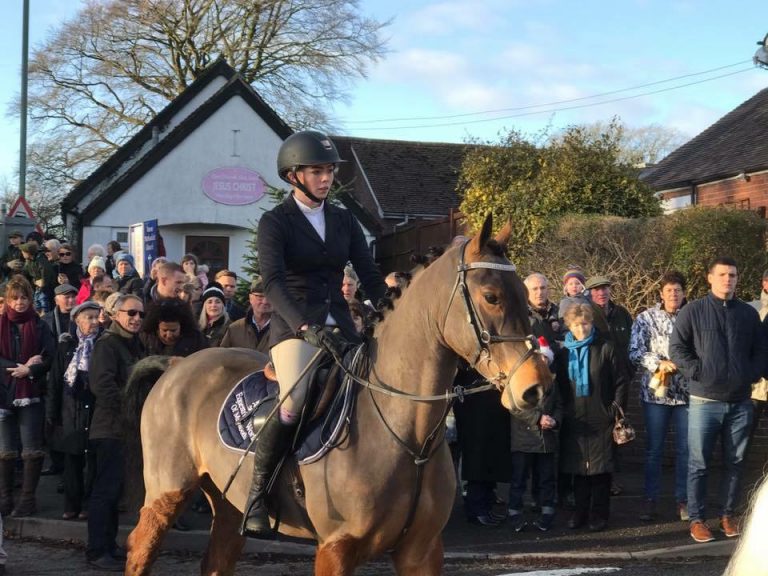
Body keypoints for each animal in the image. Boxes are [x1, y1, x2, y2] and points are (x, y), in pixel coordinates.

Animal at [126, 214, 556, 572]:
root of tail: (178, 365)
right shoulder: (336, 548)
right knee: (140, 549)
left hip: (230, 505)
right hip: (166, 493)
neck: (406, 434)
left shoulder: (422, 550)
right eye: (491, 297)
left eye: (524, 295)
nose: (536, 387)